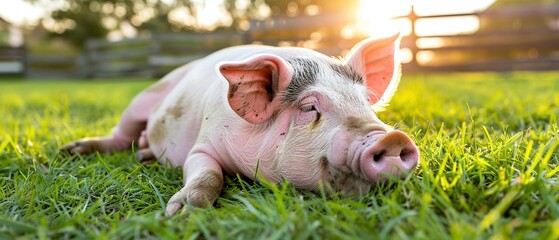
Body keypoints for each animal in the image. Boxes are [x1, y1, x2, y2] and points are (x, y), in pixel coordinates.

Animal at [61, 32, 420, 216]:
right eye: (309, 107)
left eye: (365, 103)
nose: (392, 140)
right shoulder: (203, 144)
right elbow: (208, 173)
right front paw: (181, 213)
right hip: (142, 99)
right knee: (121, 135)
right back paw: (72, 150)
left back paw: (145, 156)